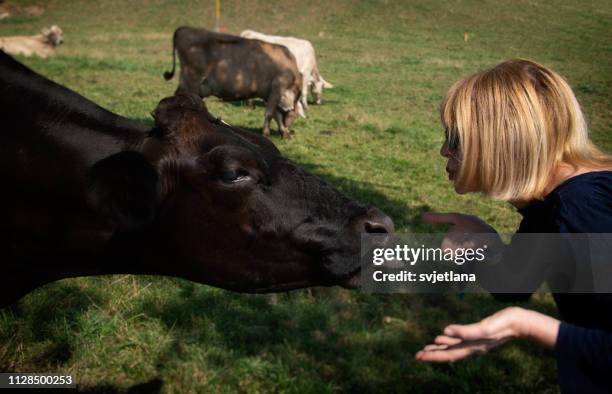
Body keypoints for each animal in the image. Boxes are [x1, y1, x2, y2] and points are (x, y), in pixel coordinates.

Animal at [164, 26, 302, 139]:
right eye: (295, 116)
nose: (290, 127)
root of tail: (184, 29)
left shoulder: (271, 93)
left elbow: (276, 114)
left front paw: (284, 133)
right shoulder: (277, 87)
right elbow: (270, 113)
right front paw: (267, 133)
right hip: (192, 81)